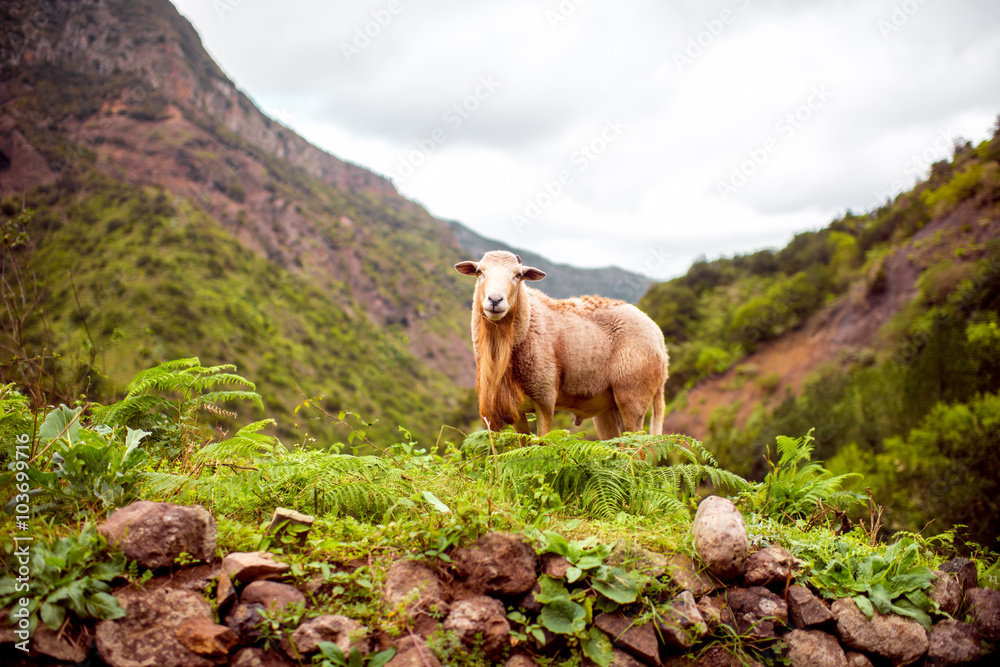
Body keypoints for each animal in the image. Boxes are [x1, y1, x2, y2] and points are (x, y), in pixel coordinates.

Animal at [458, 250, 668, 438]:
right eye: (479, 271)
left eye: (518, 275)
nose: (495, 300)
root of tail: (659, 336)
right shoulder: (515, 409)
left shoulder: (545, 399)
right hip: (607, 408)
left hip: (633, 396)